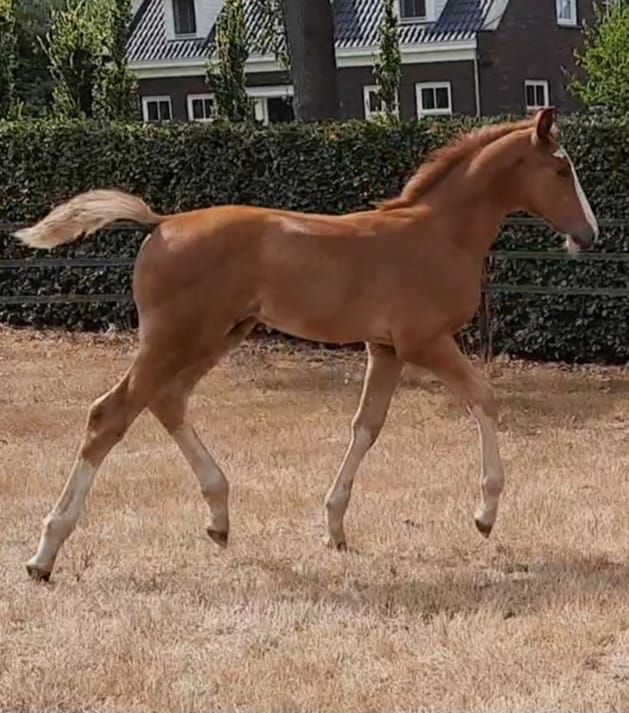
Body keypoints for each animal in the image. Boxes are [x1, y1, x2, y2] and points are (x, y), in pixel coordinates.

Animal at [15, 107, 598, 582]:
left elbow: (367, 426)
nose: (589, 234)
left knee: (166, 401)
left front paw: (334, 526)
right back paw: (45, 553)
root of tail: (162, 222)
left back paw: (219, 518)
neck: (439, 233)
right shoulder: (424, 341)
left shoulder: (385, 349)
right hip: (176, 338)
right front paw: (485, 514)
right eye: (562, 170)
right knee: (109, 414)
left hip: (219, 335)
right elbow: (484, 397)